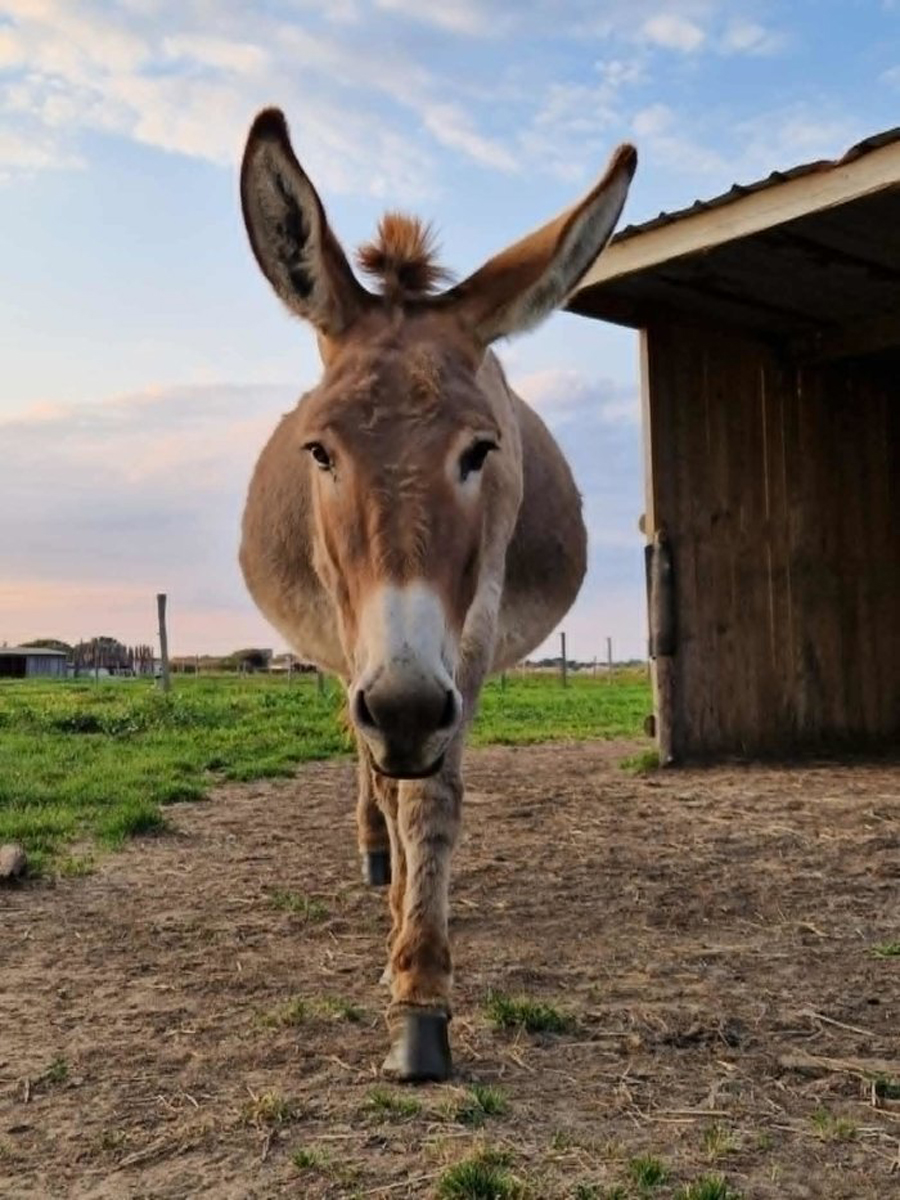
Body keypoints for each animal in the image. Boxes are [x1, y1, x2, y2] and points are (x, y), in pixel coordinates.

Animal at [238, 108, 636, 1081]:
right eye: (319, 451)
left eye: (481, 450)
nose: (409, 708)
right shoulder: (364, 648)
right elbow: (389, 779)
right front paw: (401, 950)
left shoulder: (471, 633)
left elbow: (434, 798)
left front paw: (420, 994)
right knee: (364, 761)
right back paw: (376, 858)